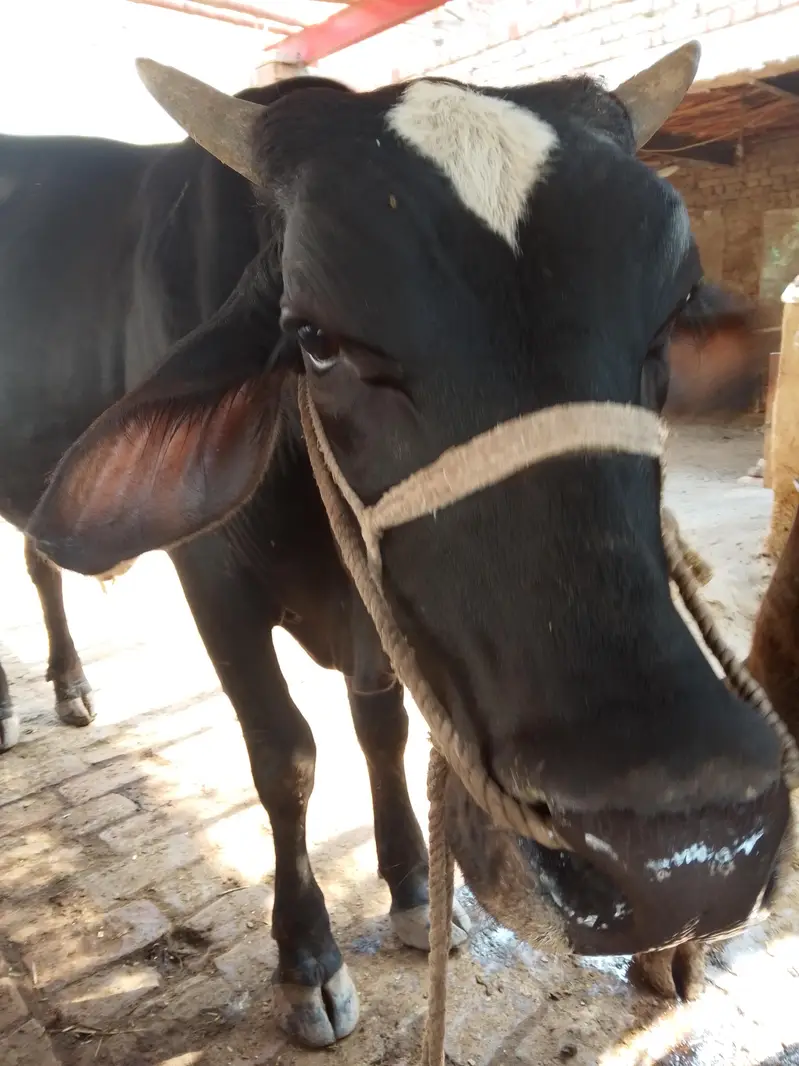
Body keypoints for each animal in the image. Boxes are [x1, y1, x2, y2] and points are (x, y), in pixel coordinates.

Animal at [2, 42, 792, 1048]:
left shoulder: (373, 612)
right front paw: (307, 960)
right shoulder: (211, 582)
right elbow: (285, 757)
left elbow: (381, 728)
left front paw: (415, 889)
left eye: (672, 311)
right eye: (313, 338)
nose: (681, 856)